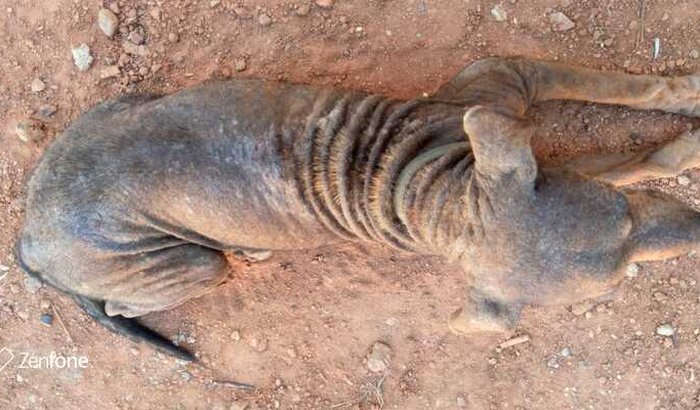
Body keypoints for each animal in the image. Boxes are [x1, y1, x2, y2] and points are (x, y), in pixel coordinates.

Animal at [16, 57, 700, 360]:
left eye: (630, 213)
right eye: (616, 285)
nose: (694, 229)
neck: (443, 195)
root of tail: (27, 235)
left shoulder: (510, 113)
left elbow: (630, 120)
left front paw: (680, 125)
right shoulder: (505, 87)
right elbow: (625, 97)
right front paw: (686, 110)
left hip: (123, 104)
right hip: (185, 267)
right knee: (123, 302)